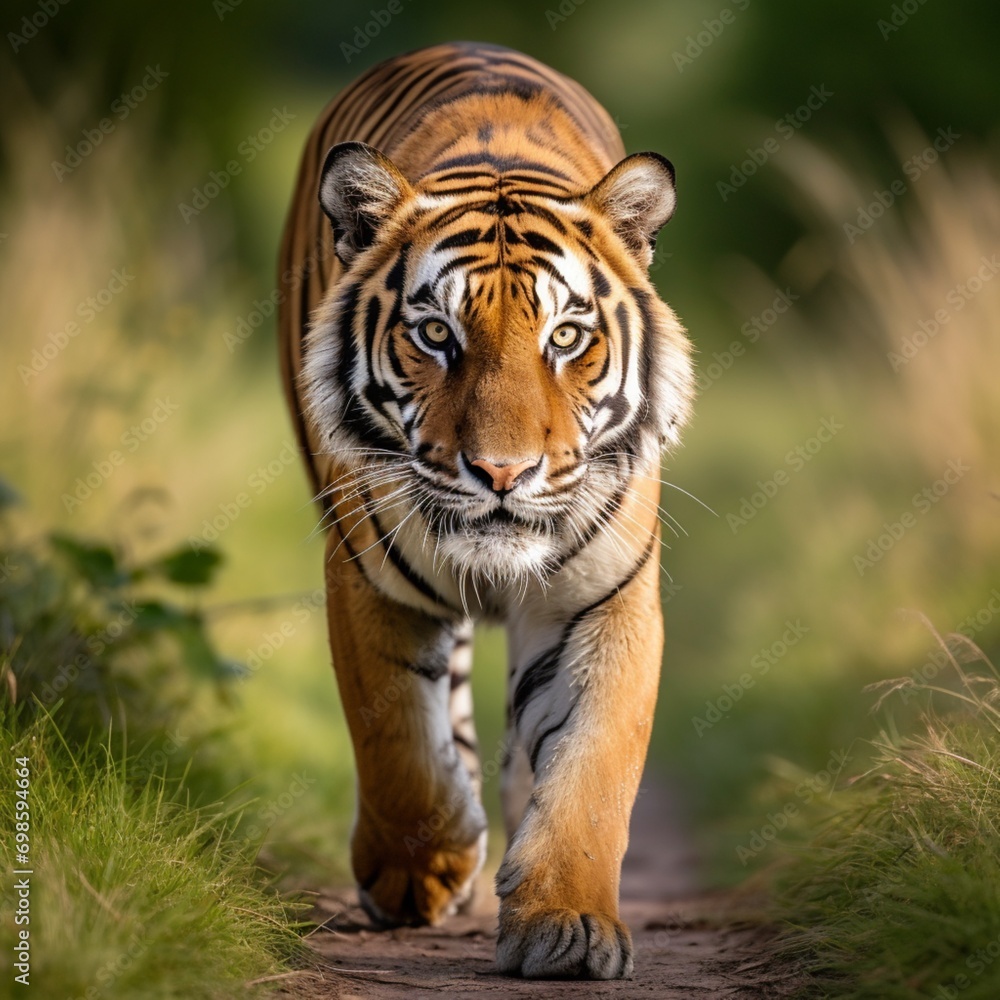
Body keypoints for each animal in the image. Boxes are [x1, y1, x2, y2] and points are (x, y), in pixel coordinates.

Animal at [277, 41, 694, 980]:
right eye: (436, 334)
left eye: (566, 338)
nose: (503, 473)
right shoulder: (369, 579)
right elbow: (397, 739)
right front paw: (421, 871)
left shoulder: (605, 601)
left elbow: (592, 766)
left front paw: (567, 923)